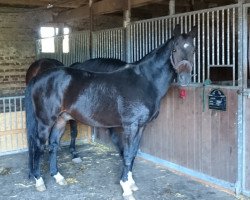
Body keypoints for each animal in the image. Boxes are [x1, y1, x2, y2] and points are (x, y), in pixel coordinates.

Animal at [25, 25, 197, 200]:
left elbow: (133, 153)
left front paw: (131, 182)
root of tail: (38, 78)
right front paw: (126, 188)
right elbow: (127, 154)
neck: (145, 81)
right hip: (45, 121)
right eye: (175, 49)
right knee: (38, 145)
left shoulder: (141, 127)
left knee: (53, 145)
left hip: (61, 119)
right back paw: (39, 180)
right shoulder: (130, 126)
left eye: (194, 50)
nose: (184, 79)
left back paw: (58, 176)